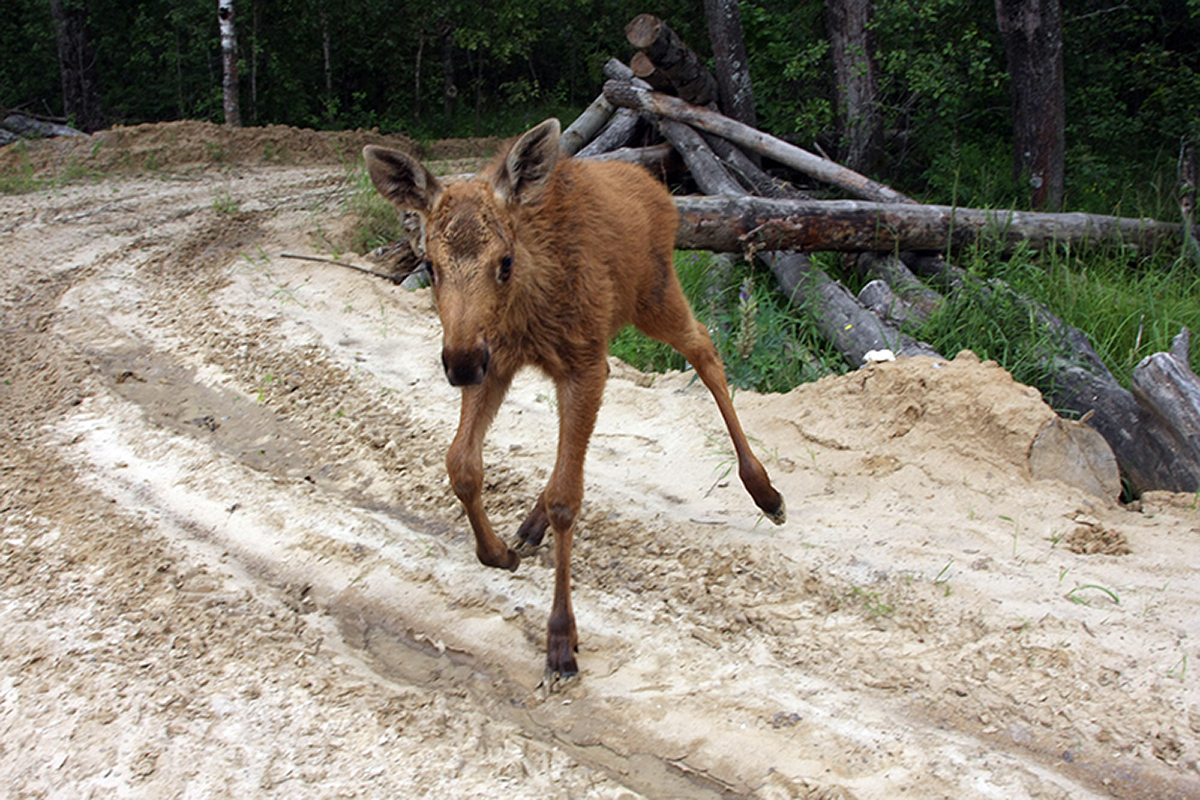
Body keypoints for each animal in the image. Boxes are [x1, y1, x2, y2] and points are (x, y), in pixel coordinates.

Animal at [360, 118, 782, 681]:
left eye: (504, 261)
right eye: (429, 264)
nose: (459, 364)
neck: (527, 306)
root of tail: (661, 191)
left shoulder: (575, 363)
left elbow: (567, 499)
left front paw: (560, 639)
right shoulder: (502, 361)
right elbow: (462, 465)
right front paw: (499, 553)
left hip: (654, 295)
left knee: (707, 351)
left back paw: (766, 491)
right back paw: (528, 526)